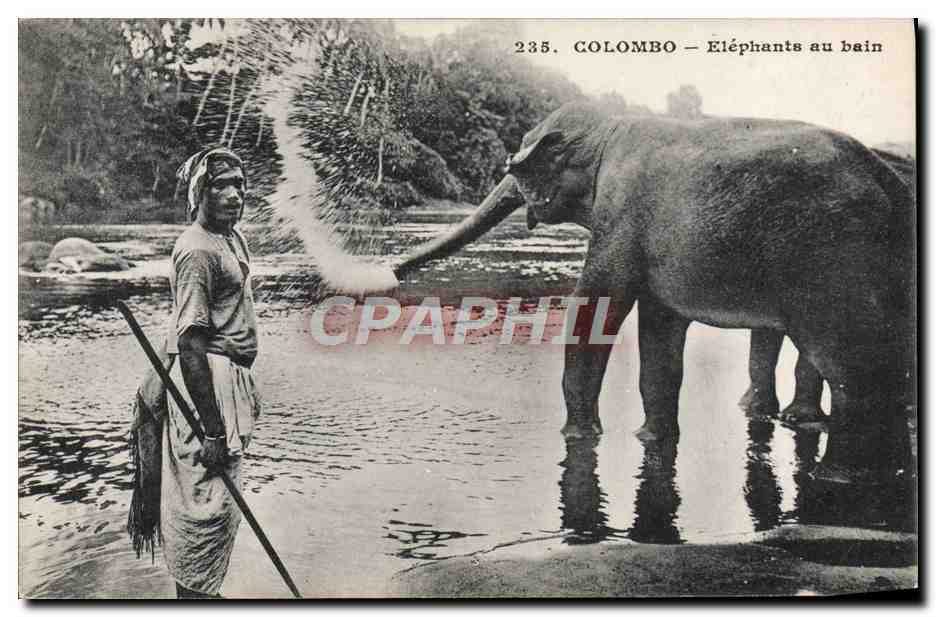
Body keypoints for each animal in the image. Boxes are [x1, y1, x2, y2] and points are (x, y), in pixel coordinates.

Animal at [393, 102, 915, 483]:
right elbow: (661, 332)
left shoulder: (620, 217)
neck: (608, 127)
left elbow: (598, 306)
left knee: (850, 368)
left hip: (831, 260)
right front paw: (649, 439)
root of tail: (888, 182)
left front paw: (579, 436)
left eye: (519, 164)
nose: (393, 271)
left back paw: (838, 476)